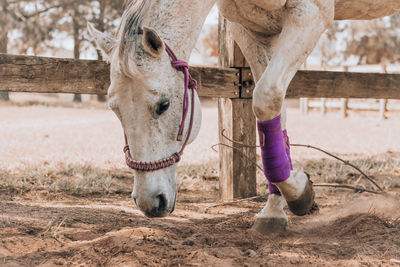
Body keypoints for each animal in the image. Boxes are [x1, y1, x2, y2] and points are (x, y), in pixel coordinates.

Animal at [87, 0, 400, 233]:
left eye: (163, 105)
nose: (150, 202)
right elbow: (274, 111)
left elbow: (265, 99)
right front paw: (274, 211)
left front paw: (299, 193)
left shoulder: (309, 16)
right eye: (115, 109)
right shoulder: (252, 29)